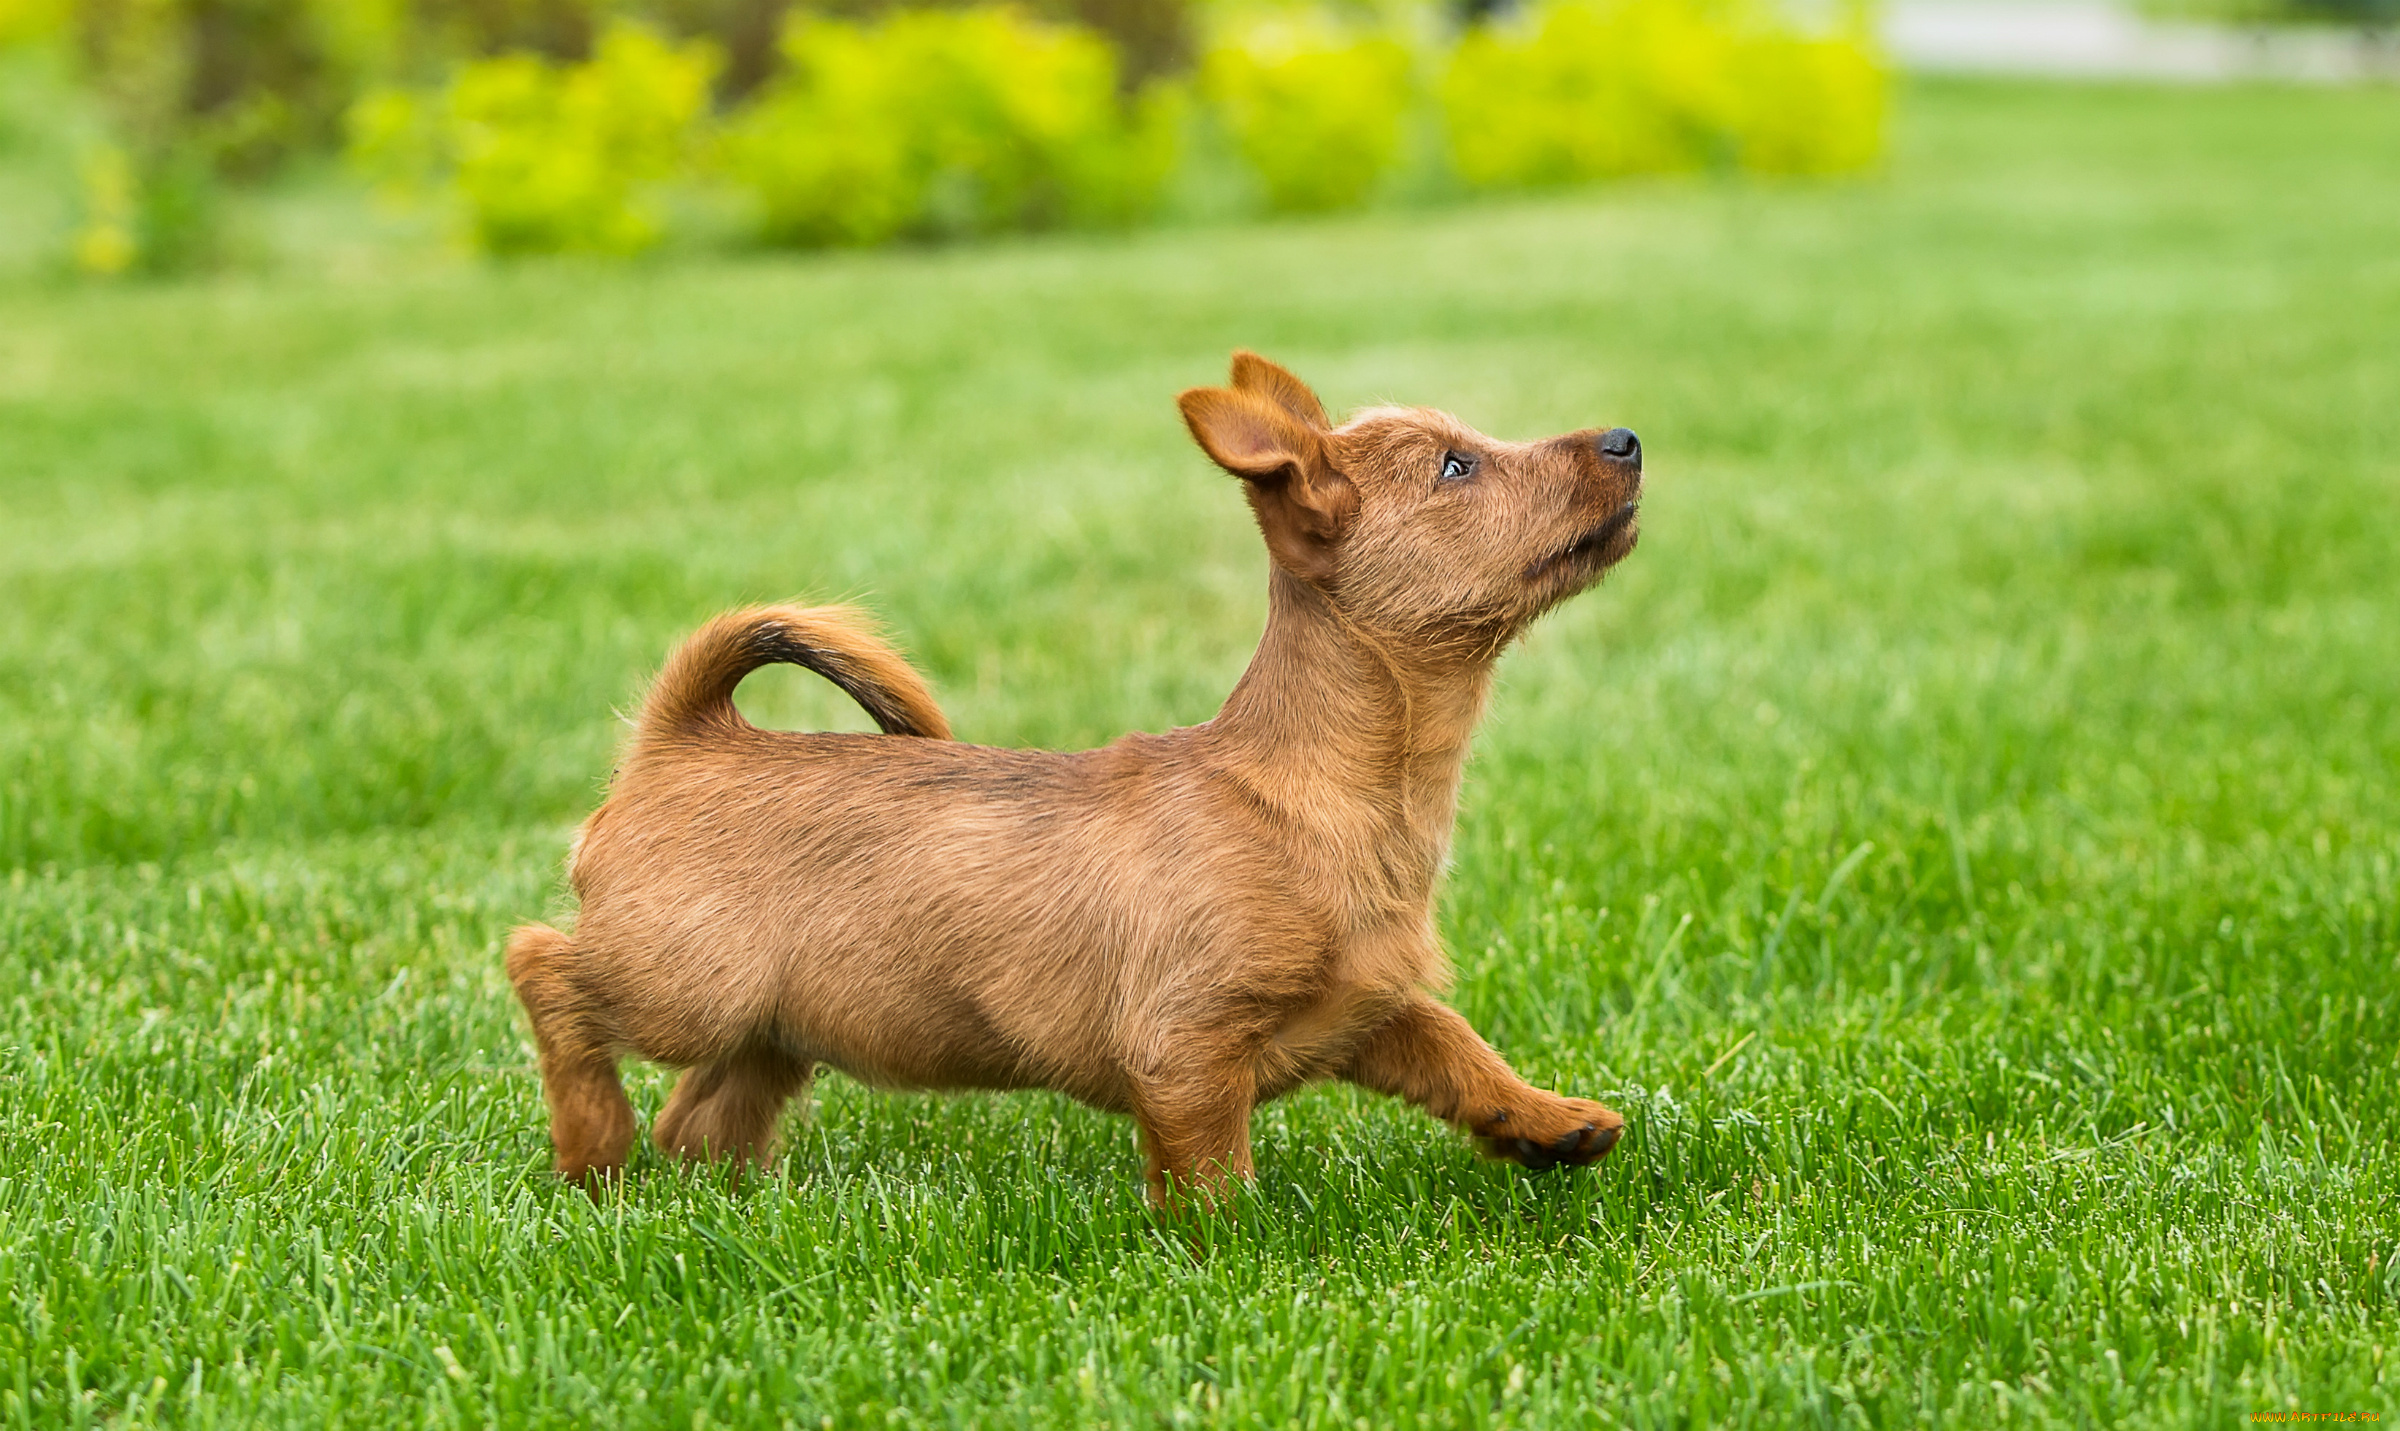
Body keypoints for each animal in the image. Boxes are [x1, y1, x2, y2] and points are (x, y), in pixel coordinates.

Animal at [501, 352, 1632, 1200]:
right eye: (1456, 468)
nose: (1626, 439)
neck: (1326, 791)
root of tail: (686, 733)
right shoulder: (1187, 1049)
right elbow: (1211, 1172)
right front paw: (1230, 1250)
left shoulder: (1368, 1006)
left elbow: (1458, 1047)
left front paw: (1548, 1121)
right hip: (683, 981)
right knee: (545, 968)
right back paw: (593, 1147)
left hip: (772, 1023)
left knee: (700, 1118)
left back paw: (732, 1198)